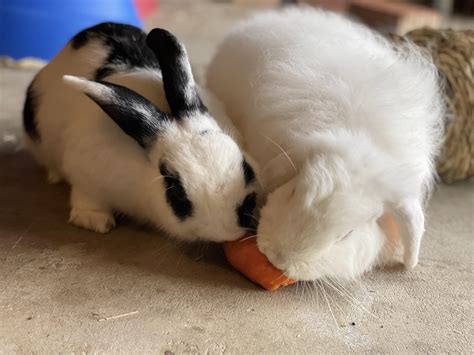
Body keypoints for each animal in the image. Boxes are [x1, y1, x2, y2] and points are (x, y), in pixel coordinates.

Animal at [23, 23, 260, 243]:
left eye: (246, 167)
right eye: (175, 189)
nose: (226, 233)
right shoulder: (85, 174)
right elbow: (87, 198)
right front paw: (95, 221)